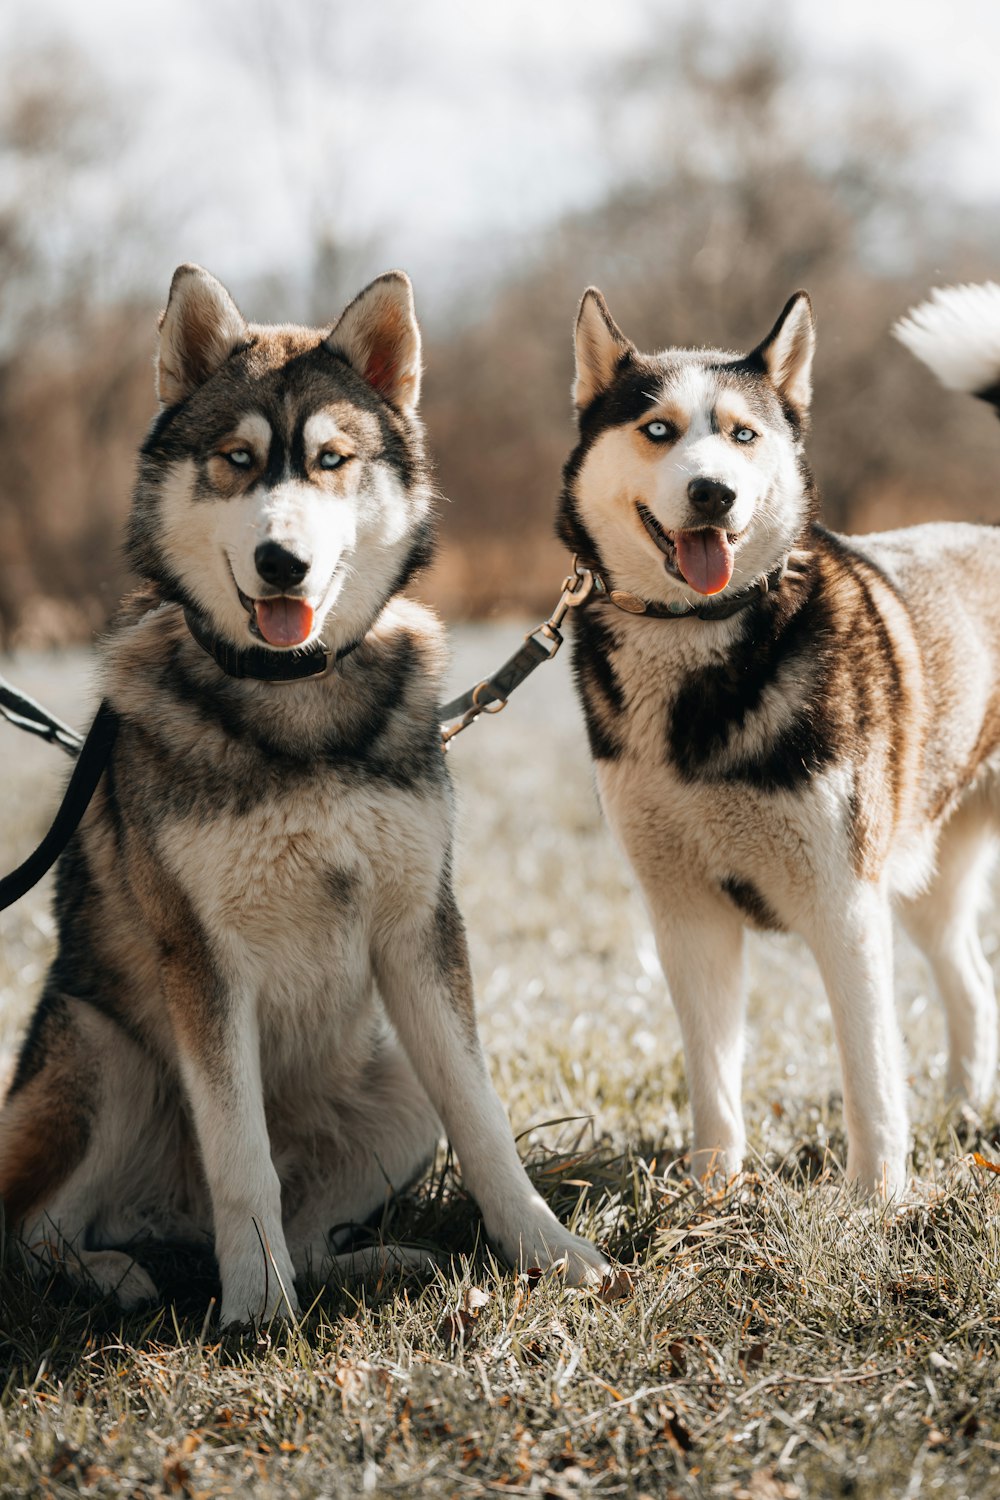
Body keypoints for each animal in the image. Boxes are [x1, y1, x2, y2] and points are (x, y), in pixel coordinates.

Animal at [0, 264, 605, 1320]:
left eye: (330, 460)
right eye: (238, 460)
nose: (281, 561)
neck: (296, 699)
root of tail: (169, 1221)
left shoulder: (421, 929)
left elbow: (484, 1121)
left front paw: (547, 1251)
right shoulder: (203, 961)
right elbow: (243, 1158)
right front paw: (257, 1311)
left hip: (395, 1088)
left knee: (318, 1221)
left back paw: (374, 1261)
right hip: (105, 1054)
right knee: (32, 1233)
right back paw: (119, 1275)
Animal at [554, 279, 1000, 1194]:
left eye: (742, 435)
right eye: (658, 430)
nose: (713, 494)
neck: (696, 650)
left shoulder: (844, 902)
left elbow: (871, 1075)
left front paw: (876, 1200)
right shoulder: (685, 913)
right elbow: (714, 1079)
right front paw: (710, 1194)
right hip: (929, 871)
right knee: (972, 983)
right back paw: (965, 1112)